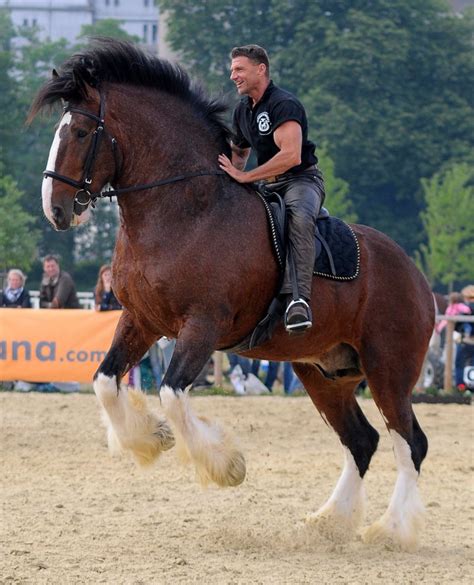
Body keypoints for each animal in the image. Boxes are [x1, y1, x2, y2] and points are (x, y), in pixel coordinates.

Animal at [29, 38, 436, 548]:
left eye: (82, 132)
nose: (56, 210)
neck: (184, 211)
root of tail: (416, 276)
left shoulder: (203, 325)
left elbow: (171, 392)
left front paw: (225, 466)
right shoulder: (141, 320)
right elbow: (105, 382)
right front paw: (151, 439)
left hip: (388, 371)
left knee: (409, 443)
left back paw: (391, 530)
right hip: (324, 374)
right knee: (362, 441)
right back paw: (331, 520)